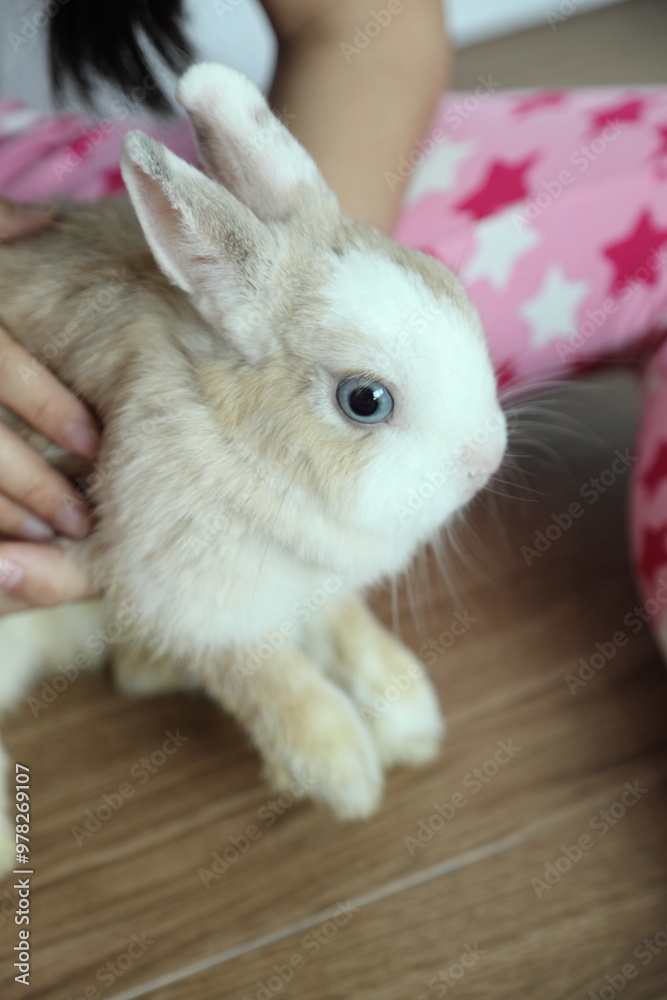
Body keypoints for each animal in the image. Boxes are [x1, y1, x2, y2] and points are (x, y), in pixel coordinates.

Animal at [0, 63, 507, 869]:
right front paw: (344, 772)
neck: (238, 439)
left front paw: (408, 719)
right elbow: (270, 675)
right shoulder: (187, 594)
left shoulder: (313, 578)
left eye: (447, 282)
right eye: (364, 401)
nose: (485, 458)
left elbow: (345, 625)